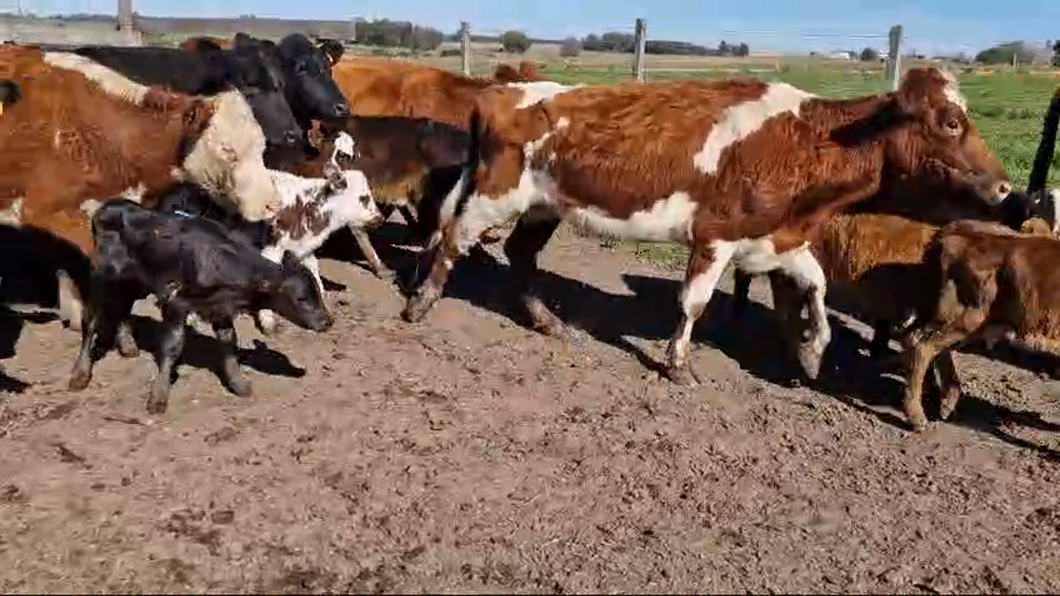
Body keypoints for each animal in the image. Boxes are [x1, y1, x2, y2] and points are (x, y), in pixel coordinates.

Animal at [68, 199, 330, 413]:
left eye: (317, 293)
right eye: (301, 299)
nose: (327, 322)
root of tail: (106, 207)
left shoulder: (220, 308)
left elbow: (228, 343)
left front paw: (238, 384)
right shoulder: (176, 303)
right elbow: (172, 347)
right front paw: (159, 396)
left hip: (135, 281)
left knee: (123, 305)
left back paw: (127, 345)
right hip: (101, 277)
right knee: (90, 321)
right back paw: (80, 374)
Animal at [402, 68, 1009, 386]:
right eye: (951, 123)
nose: (1005, 187)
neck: (802, 140)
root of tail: (505, 89)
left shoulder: (776, 237)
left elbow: (815, 285)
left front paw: (812, 350)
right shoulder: (716, 235)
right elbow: (694, 302)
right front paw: (677, 363)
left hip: (543, 207)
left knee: (521, 257)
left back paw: (548, 322)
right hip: (495, 195)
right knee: (453, 239)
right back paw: (422, 303)